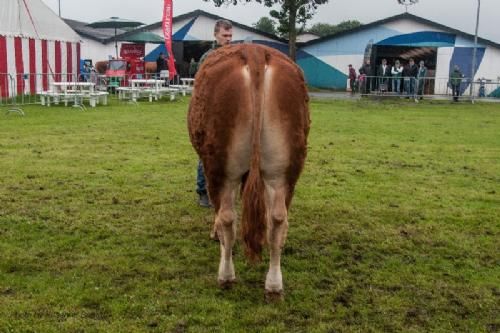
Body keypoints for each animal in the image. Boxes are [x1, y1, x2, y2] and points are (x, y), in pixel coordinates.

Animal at [188, 43, 308, 294]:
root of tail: (254, 51)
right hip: (283, 170)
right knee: (277, 219)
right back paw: (274, 285)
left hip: (221, 169)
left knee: (226, 218)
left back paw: (225, 276)